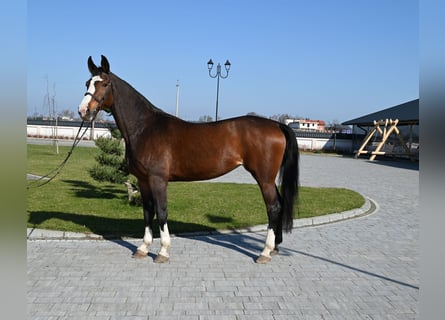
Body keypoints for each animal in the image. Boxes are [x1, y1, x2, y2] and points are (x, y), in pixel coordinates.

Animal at [77, 55, 298, 264]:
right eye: (87, 82)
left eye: (104, 83)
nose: (83, 111)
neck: (145, 128)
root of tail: (277, 125)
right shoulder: (143, 180)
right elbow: (148, 212)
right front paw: (143, 248)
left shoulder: (158, 179)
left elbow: (162, 211)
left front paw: (163, 252)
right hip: (267, 178)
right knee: (278, 204)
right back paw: (275, 247)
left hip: (264, 177)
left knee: (273, 207)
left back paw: (265, 252)